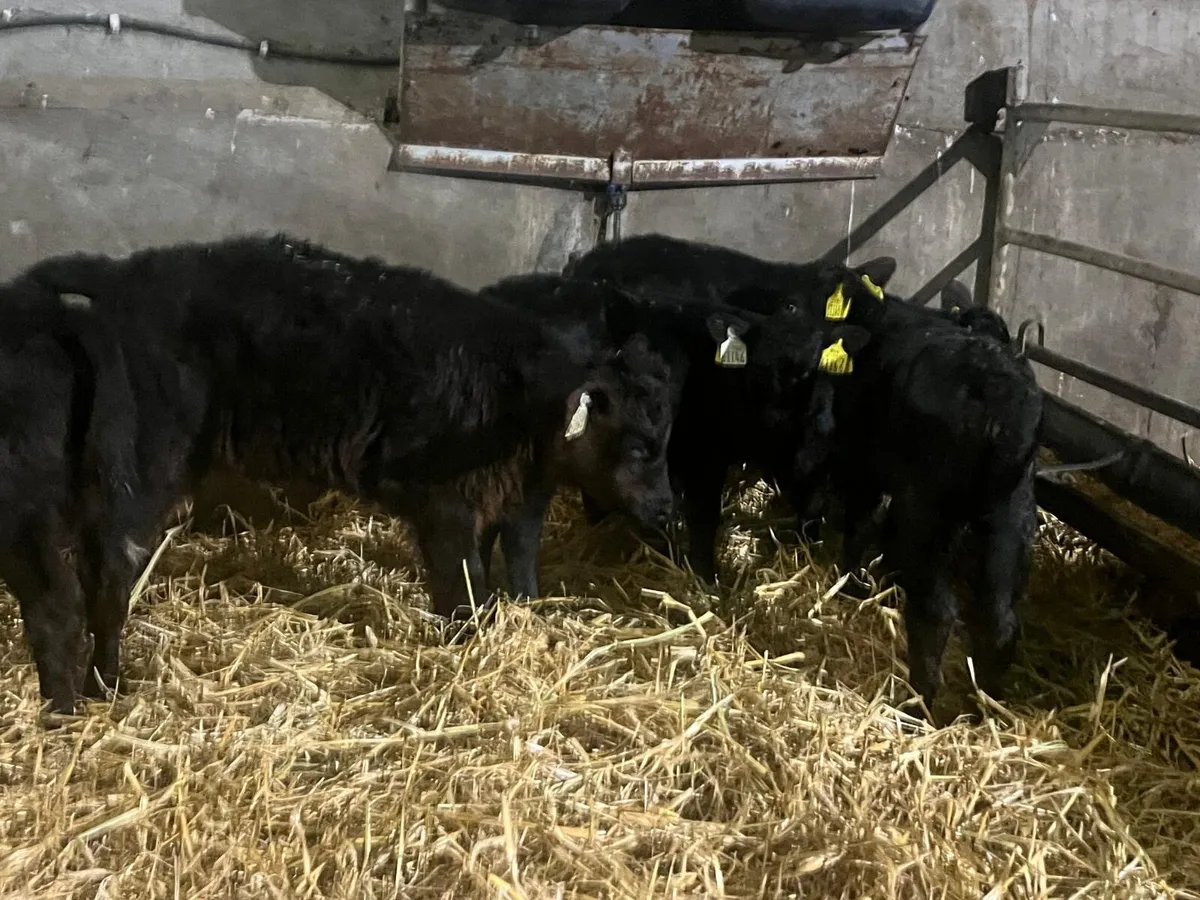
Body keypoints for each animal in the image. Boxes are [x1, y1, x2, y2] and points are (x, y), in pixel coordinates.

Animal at [10, 234, 677, 714]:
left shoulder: (498, 503)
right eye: (641, 447)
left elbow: (502, 576)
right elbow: (460, 592)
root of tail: (123, 273)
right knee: (107, 569)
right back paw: (102, 685)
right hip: (143, 463)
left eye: (665, 437)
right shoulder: (444, 509)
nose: (668, 510)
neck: (511, 395)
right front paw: (465, 654)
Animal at [479, 273, 871, 588]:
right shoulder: (704, 456)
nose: (785, 414)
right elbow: (704, 517)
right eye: (761, 367)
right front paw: (706, 579)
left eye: (813, 369)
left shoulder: (811, 457)